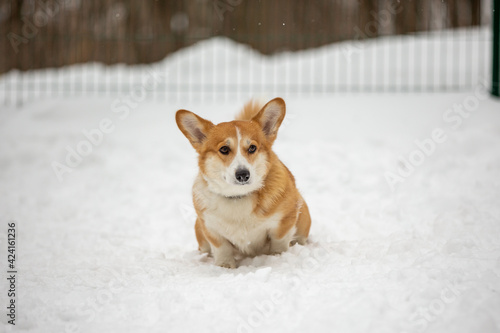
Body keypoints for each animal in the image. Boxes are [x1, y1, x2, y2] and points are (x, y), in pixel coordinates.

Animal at [175, 96, 308, 268]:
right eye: (224, 149)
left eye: (252, 148)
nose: (243, 174)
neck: (238, 197)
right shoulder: (210, 228)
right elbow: (222, 248)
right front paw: (225, 266)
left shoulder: (285, 220)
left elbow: (278, 243)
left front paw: (277, 258)